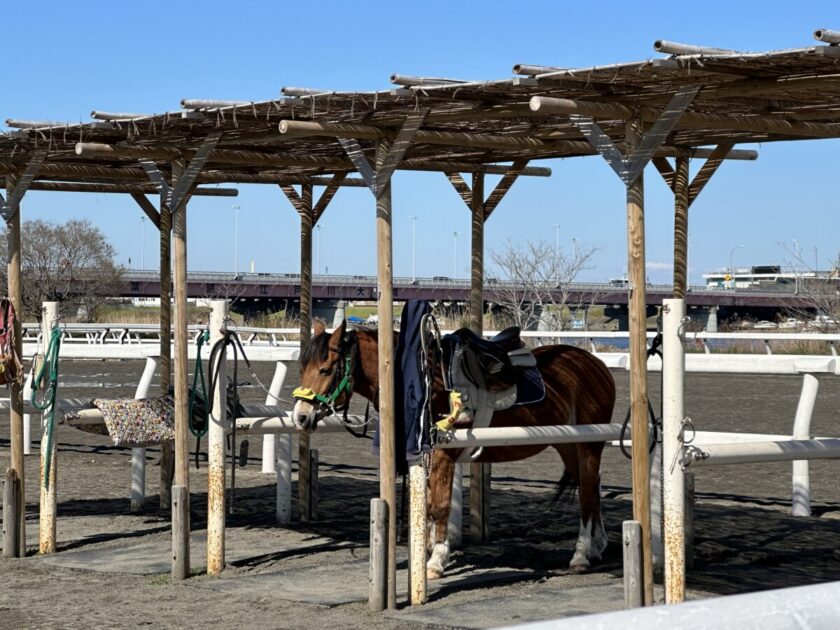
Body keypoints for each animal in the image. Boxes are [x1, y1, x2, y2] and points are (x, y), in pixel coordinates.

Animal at [292, 324, 612, 580]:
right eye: (302, 369)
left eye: (325, 369)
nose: (300, 417)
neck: (422, 384)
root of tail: (596, 365)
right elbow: (426, 506)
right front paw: (425, 551)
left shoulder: (444, 455)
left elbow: (439, 506)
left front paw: (435, 561)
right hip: (568, 445)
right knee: (591, 486)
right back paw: (598, 546)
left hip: (589, 445)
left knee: (587, 493)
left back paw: (581, 555)